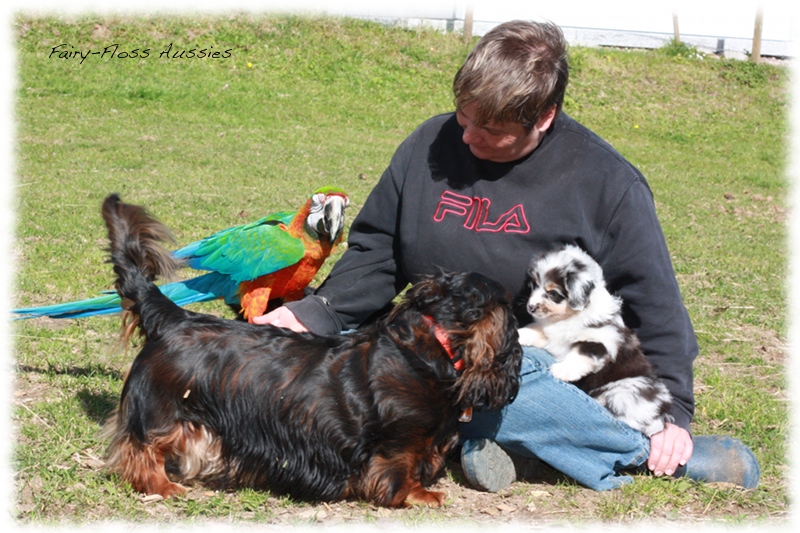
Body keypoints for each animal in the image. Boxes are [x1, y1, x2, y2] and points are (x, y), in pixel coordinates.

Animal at [100, 193, 520, 504]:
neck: (429, 346)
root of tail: (173, 317)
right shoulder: (402, 440)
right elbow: (400, 471)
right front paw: (420, 495)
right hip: (164, 409)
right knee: (140, 447)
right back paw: (162, 485)